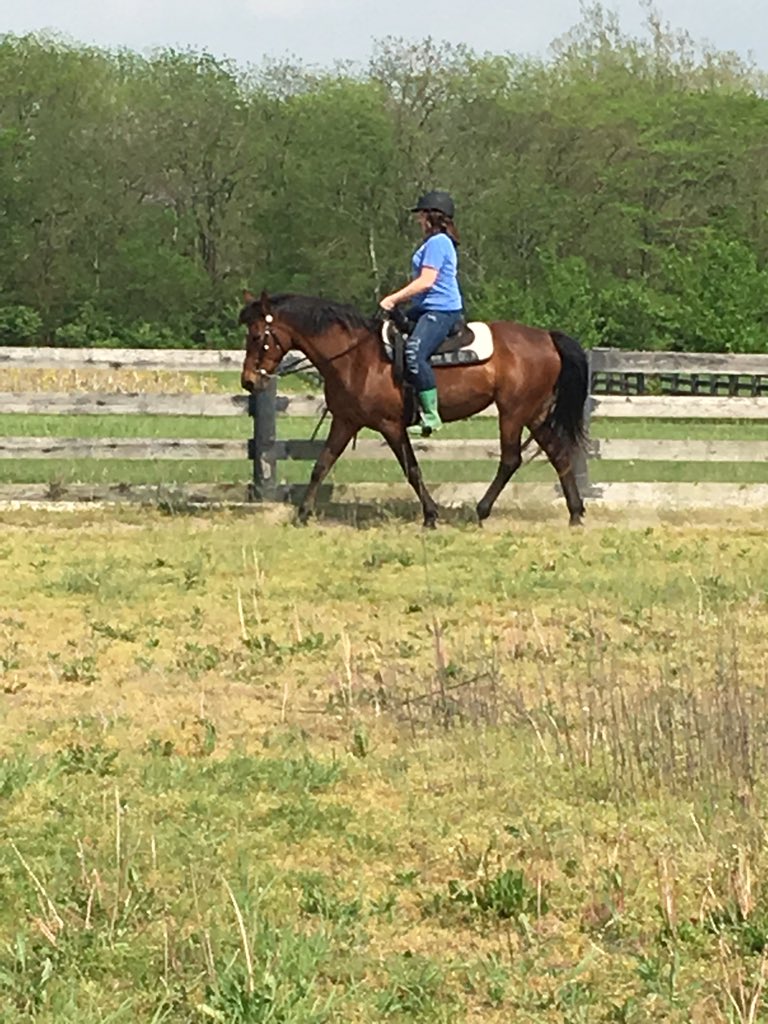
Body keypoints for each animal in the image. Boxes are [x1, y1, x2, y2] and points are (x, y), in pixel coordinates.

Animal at [239, 290, 589, 528]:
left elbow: (411, 469)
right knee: (559, 454)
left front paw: (431, 516)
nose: (248, 381)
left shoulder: (390, 425)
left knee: (511, 459)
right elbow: (321, 465)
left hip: (514, 412)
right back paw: (575, 513)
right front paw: (302, 513)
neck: (356, 358)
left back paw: (482, 509)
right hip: (535, 414)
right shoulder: (346, 421)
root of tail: (547, 337)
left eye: (256, 336)